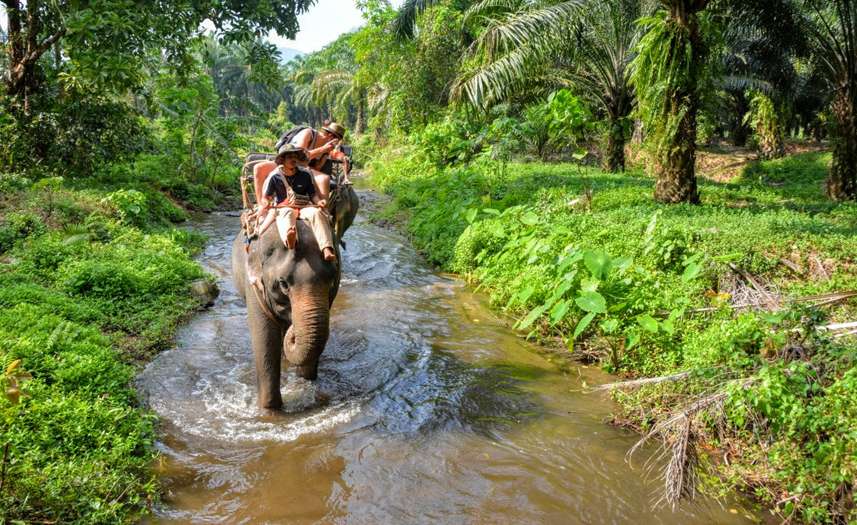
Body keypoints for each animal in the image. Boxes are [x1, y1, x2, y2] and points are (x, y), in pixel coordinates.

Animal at [232, 185, 359, 412]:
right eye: (283, 284)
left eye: (331, 279)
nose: (292, 332)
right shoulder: (254, 285)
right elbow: (265, 339)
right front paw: (270, 409)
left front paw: (306, 383)